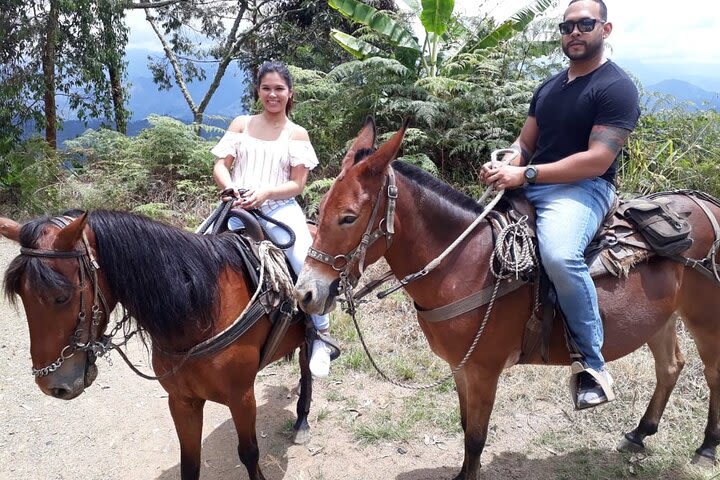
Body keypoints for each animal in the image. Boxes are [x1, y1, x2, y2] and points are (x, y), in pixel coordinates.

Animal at [1, 211, 314, 480]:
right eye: (22, 296)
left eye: (61, 296)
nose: (51, 384)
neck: (202, 312)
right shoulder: (182, 401)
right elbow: (190, 465)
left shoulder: (242, 397)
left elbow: (249, 454)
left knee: (308, 368)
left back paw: (302, 420)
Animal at [296, 119, 720, 480]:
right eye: (322, 207)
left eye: (349, 217)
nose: (306, 293)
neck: (465, 263)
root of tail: (708, 204)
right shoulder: (461, 367)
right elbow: (466, 426)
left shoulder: (484, 368)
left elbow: (476, 437)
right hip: (662, 318)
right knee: (671, 366)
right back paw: (640, 433)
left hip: (705, 317)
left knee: (712, 372)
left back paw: (706, 447)